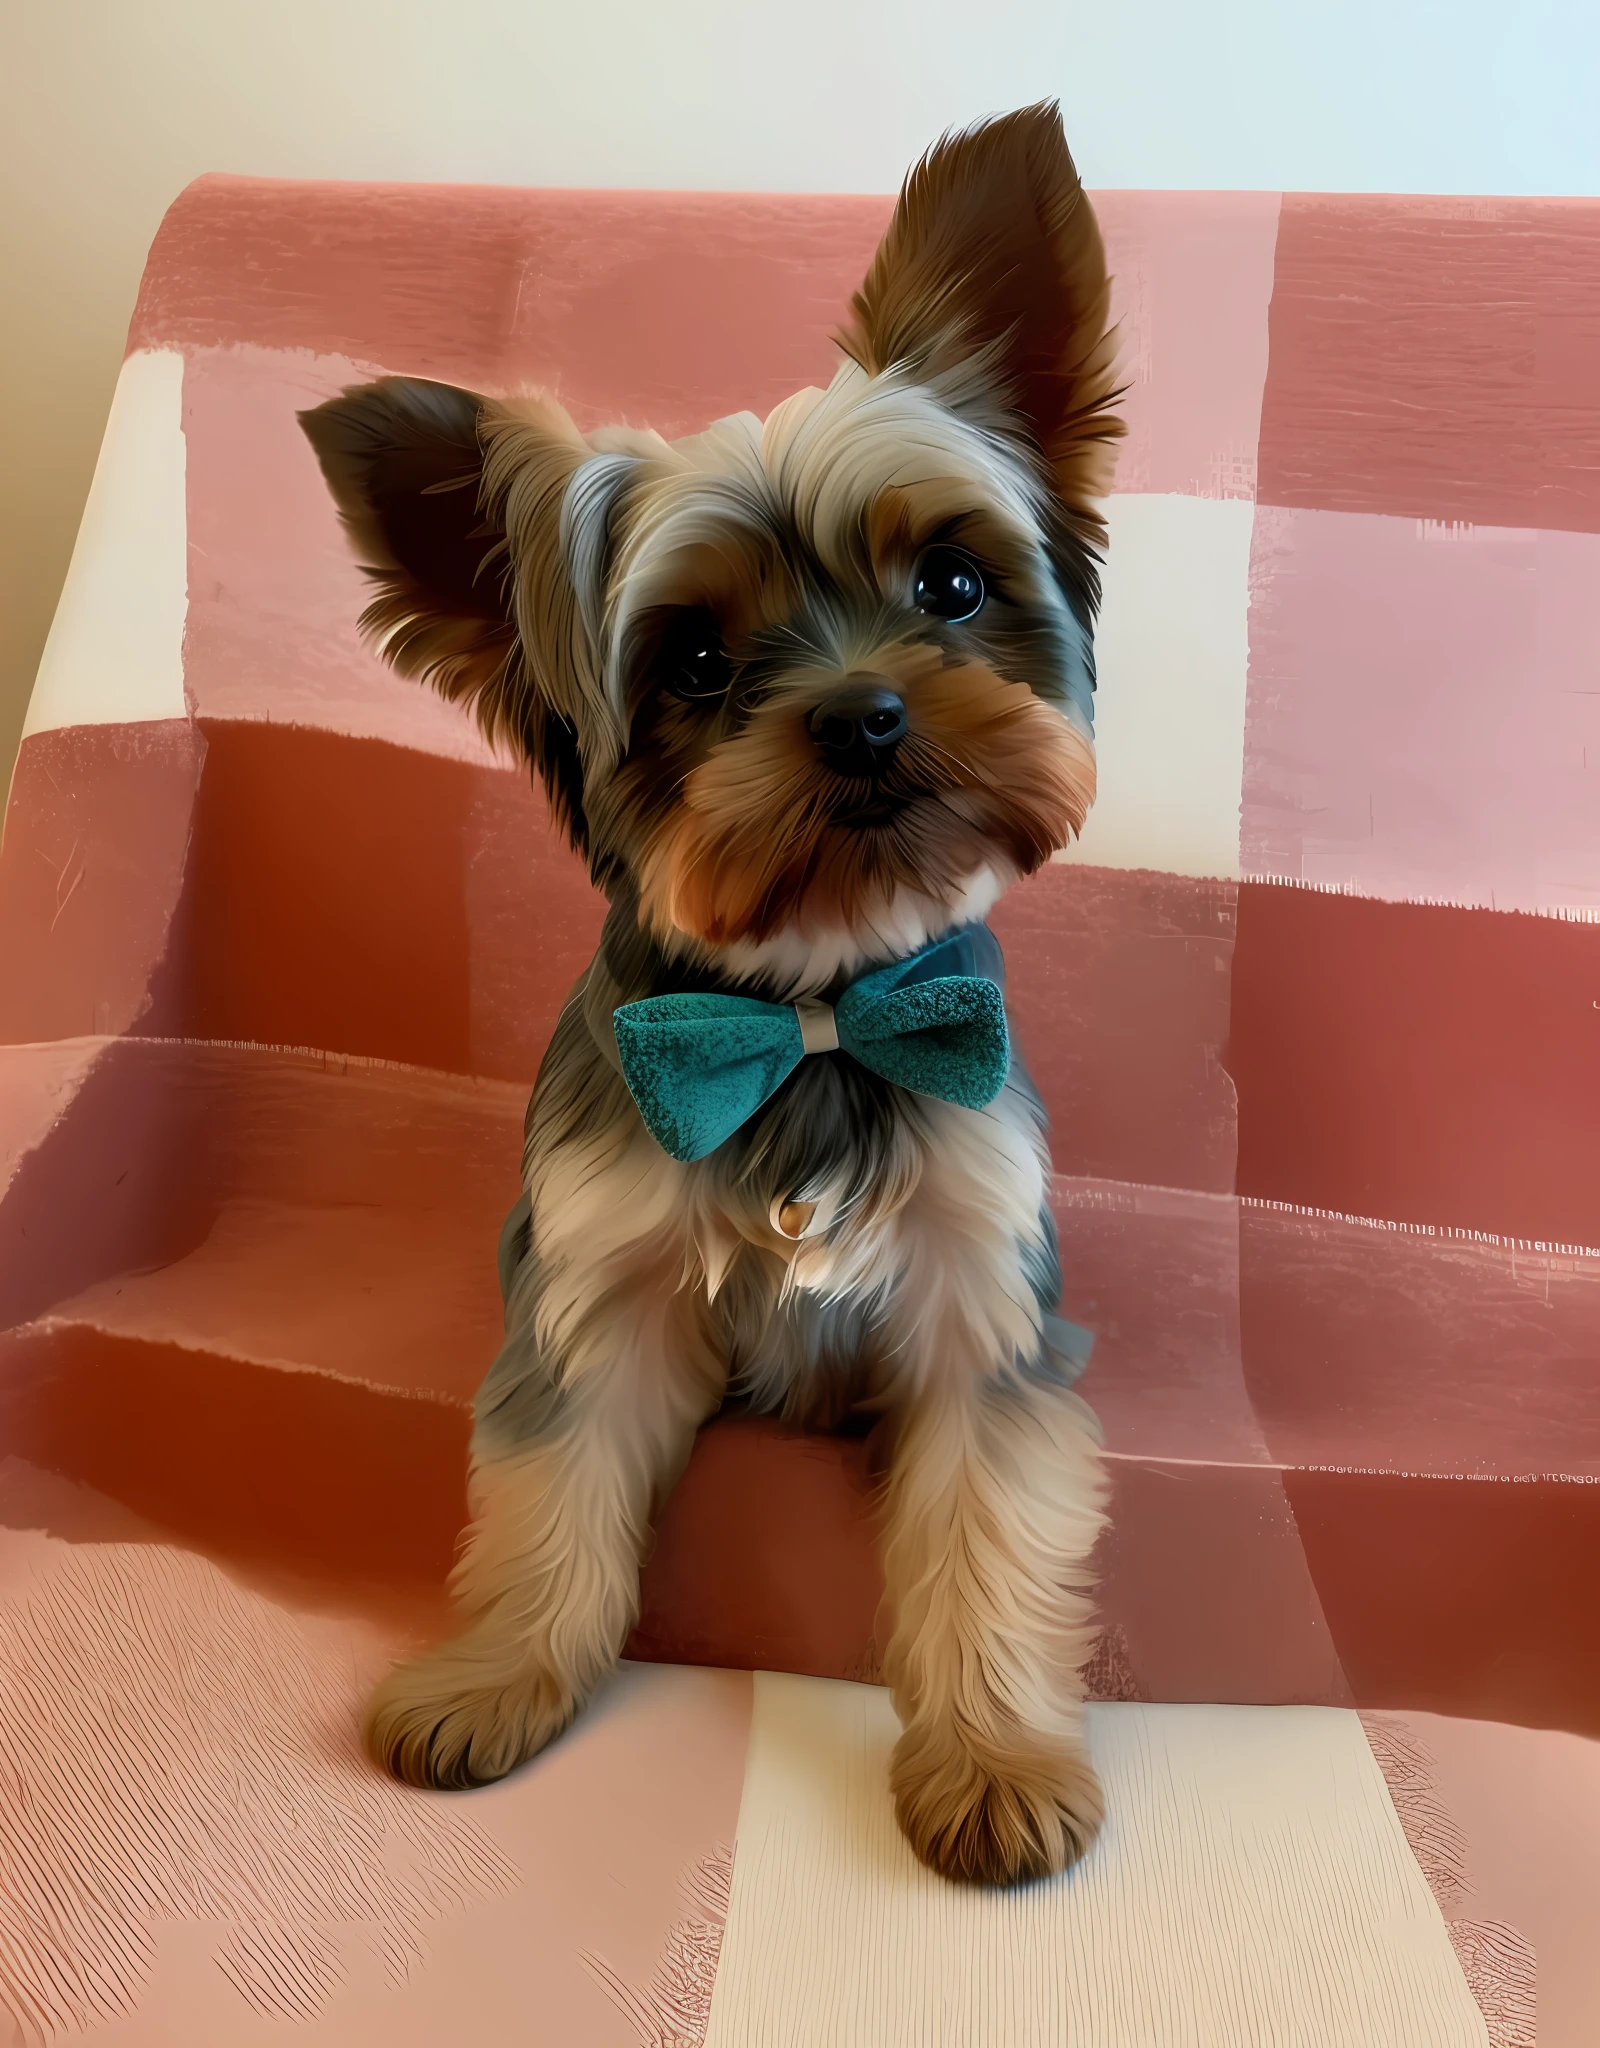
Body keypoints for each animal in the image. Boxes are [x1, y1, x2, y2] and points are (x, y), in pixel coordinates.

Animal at [303, 99, 1122, 1884]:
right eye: (686, 662)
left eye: (950, 585)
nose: (868, 715)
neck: (803, 1014)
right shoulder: (595, 1285)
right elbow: (549, 1491)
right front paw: (495, 1677)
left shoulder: (975, 1293)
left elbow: (988, 1525)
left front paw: (994, 1761)